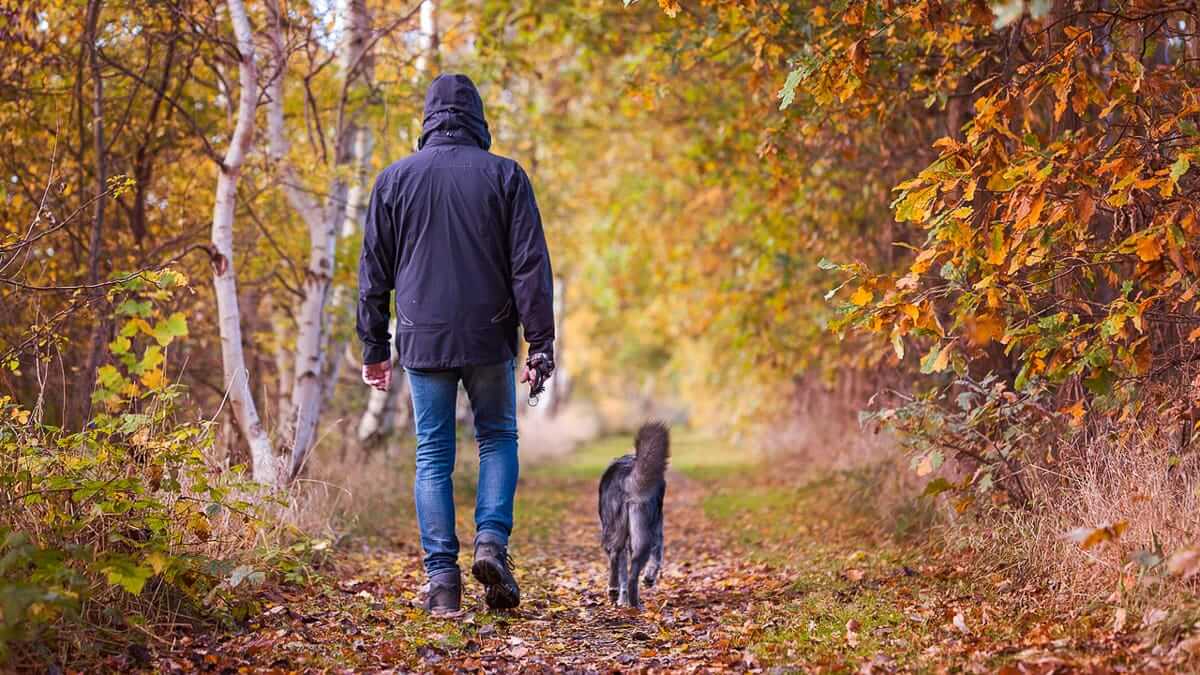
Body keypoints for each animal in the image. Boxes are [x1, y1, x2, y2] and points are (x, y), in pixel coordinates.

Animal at [597, 420, 672, 605]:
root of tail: (626, 473)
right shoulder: (657, 528)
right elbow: (658, 554)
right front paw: (649, 578)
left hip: (616, 530)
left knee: (615, 556)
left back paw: (616, 591)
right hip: (641, 532)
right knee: (631, 574)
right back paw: (634, 603)